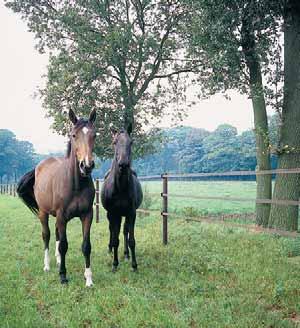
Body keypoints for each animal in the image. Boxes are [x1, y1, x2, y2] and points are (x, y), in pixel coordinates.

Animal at [17, 109, 96, 286]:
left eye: (94, 135)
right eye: (74, 135)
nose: (86, 166)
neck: (76, 185)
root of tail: (38, 167)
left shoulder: (87, 215)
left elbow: (86, 245)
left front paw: (88, 278)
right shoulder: (61, 216)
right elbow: (64, 245)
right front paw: (63, 276)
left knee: (57, 234)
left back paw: (59, 260)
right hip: (43, 212)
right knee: (46, 235)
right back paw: (47, 265)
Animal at [100, 124, 144, 272]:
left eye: (131, 142)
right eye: (114, 142)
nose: (123, 164)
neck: (120, 188)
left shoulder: (131, 213)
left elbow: (131, 240)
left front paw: (134, 265)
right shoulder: (113, 213)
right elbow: (115, 239)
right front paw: (114, 264)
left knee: (124, 231)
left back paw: (126, 254)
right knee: (113, 231)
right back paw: (110, 250)